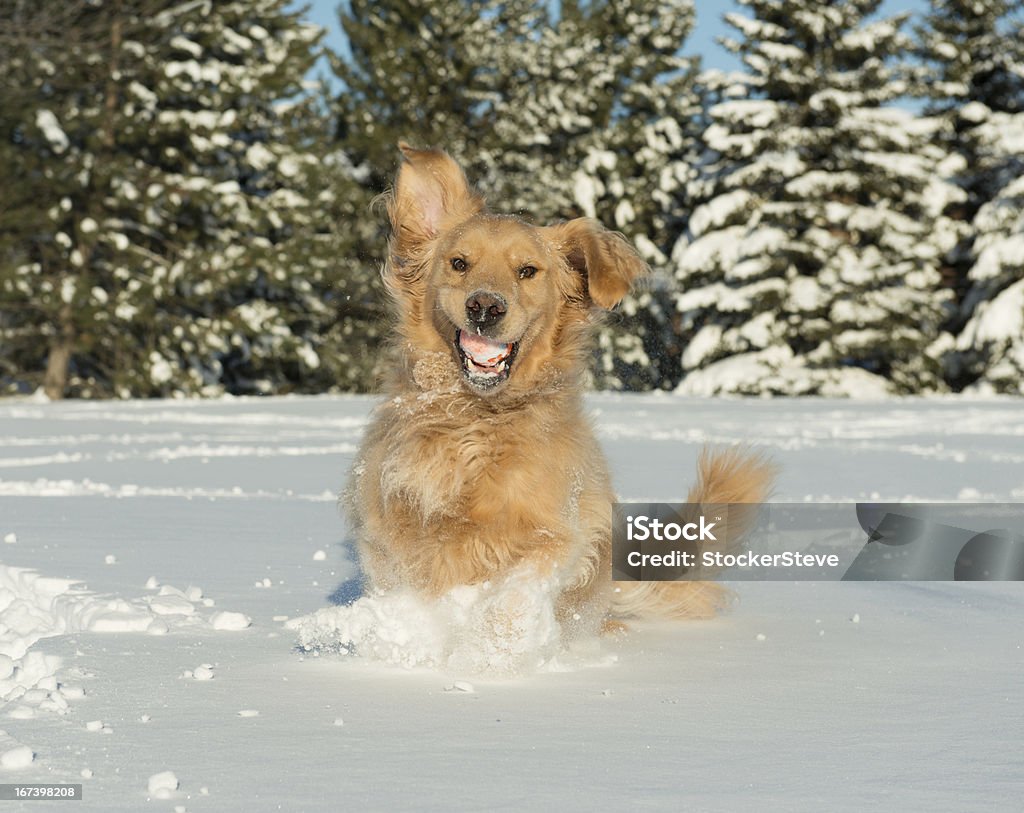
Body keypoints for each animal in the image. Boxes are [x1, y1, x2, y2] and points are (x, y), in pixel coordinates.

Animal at [348, 142, 770, 643]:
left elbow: (516, 592)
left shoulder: (559, 531)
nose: (484, 307)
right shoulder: (390, 532)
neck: (477, 421)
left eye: (527, 271)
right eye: (459, 263)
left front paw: (491, 650)